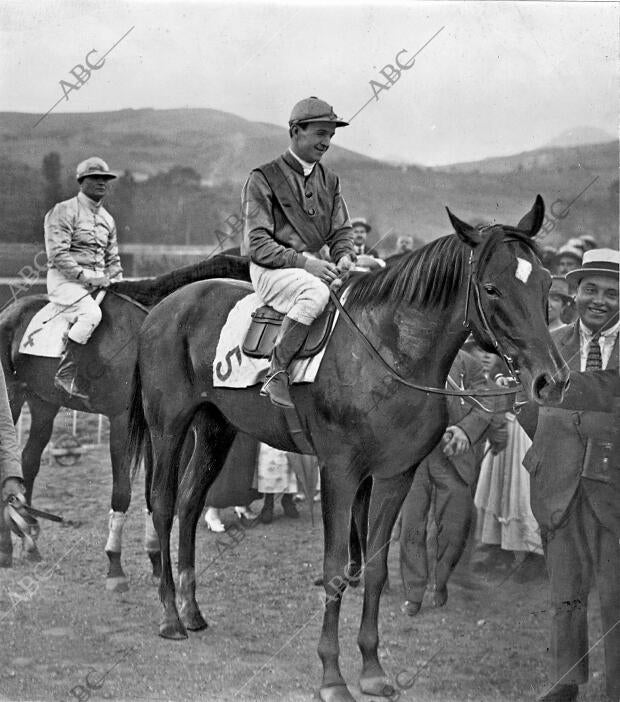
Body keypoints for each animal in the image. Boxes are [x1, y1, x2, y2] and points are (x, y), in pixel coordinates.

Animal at [1, 256, 252, 592]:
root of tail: (11, 312)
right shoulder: (122, 422)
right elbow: (122, 492)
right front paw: (115, 565)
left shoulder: (154, 428)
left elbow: (151, 494)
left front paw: (156, 563)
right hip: (12, 399)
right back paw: (7, 547)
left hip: (44, 404)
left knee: (28, 462)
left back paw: (29, 541)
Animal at [128, 199, 568, 702]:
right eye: (492, 288)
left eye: (546, 283)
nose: (551, 380)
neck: (388, 353)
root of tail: (164, 308)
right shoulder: (340, 473)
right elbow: (337, 568)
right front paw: (332, 676)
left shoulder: (396, 475)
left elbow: (374, 568)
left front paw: (372, 669)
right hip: (168, 427)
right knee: (163, 505)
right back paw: (170, 616)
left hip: (216, 429)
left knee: (189, 503)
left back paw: (192, 609)